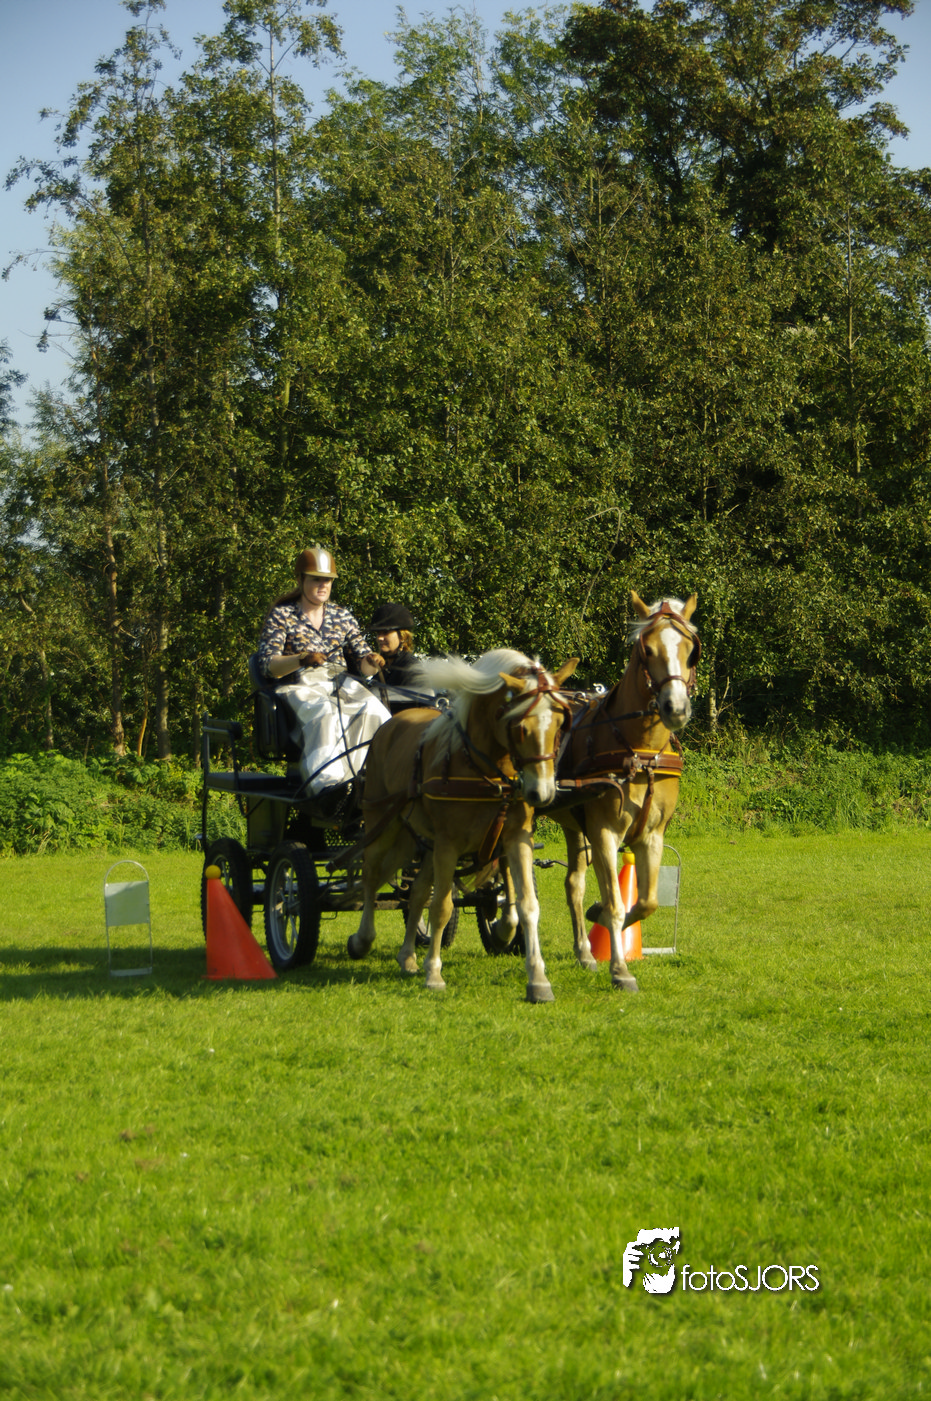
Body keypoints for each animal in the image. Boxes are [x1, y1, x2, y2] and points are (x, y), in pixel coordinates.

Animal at [346, 649, 578, 1001]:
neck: (484, 769)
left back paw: (408, 956)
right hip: (383, 824)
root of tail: (391, 723)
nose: (542, 793)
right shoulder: (448, 844)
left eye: (561, 723)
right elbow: (441, 907)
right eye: (520, 728)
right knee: (372, 878)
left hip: (422, 842)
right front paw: (434, 974)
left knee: (417, 893)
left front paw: (537, 978)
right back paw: (363, 940)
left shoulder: (515, 839)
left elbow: (527, 906)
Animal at [549, 592, 699, 991]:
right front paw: (620, 969)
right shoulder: (604, 832)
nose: (675, 708)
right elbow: (617, 903)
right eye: (647, 649)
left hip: (574, 826)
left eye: (691, 650)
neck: (640, 751)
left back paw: (584, 952)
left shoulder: (652, 834)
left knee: (573, 883)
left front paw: (598, 917)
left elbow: (646, 902)